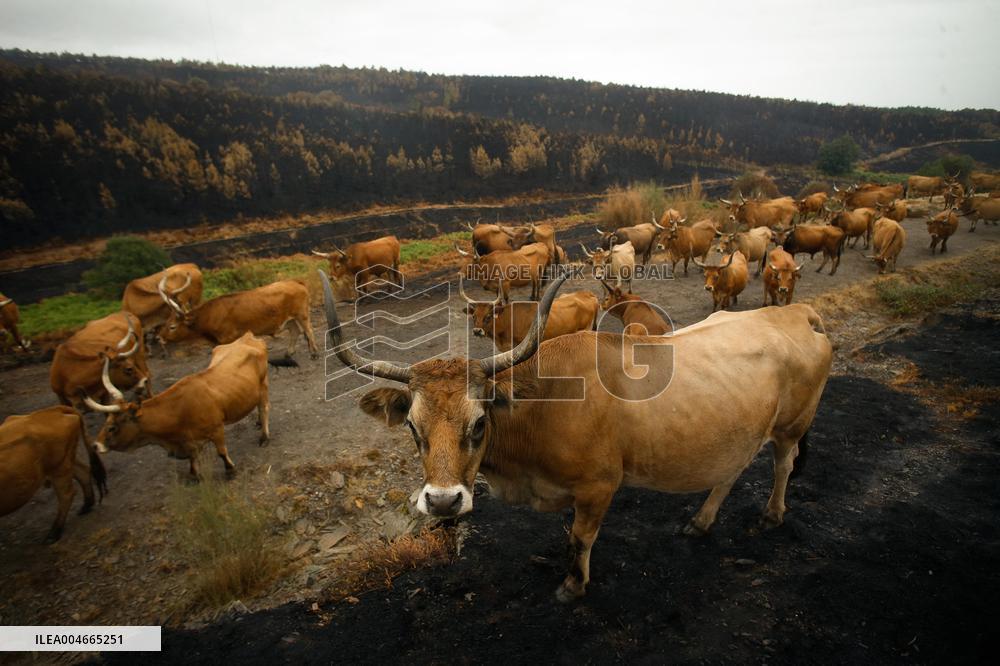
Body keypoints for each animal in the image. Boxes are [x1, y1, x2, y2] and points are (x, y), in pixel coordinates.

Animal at [0, 406, 107, 543]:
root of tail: (52, 411)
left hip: (59, 468)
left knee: (66, 494)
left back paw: (54, 532)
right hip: (66, 461)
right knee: (83, 472)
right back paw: (86, 506)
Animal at [84, 332, 270, 479]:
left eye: (112, 427)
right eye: (106, 422)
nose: (96, 445)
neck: (179, 409)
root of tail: (247, 337)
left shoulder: (217, 430)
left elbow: (222, 452)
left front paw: (230, 470)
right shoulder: (188, 441)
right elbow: (193, 457)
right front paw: (194, 475)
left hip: (263, 389)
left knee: (264, 409)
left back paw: (264, 436)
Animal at [158, 280, 318, 359]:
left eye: (172, 326)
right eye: (166, 323)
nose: (159, 337)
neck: (210, 314)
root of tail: (296, 282)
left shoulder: (229, 339)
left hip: (302, 315)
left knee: (309, 330)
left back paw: (314, 353)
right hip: (290, 320)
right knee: (295, 332)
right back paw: (289, 352)